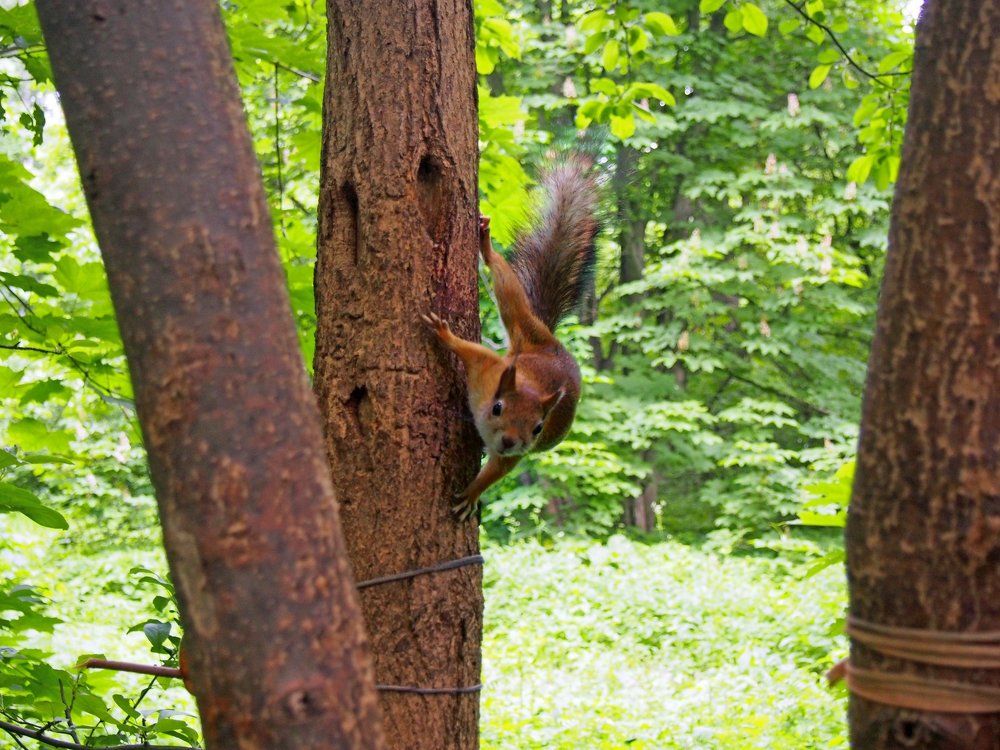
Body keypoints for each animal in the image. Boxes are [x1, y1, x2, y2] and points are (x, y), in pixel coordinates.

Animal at [422, 160, 599, 520]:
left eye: (538, 428)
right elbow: (469, 351)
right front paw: (445, 334)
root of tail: (550, 344)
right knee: (508, 290)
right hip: (522, 323)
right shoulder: (487, 370)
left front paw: (472, 494)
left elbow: (497, 472)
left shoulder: (516, 455)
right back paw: (486, 247)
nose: (509, 441)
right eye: (498, 407)